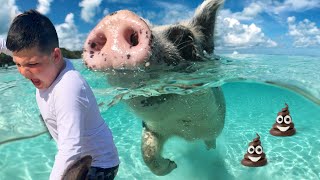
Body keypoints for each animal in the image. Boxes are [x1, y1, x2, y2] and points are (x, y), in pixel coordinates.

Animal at [84, 0, 226, 175]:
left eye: (184, 37)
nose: (116, 19)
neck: (184, 129)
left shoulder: (213, 123)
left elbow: (210, 137)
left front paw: (206, 152)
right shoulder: (152, 128)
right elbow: (147, 152)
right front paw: (173, 165)